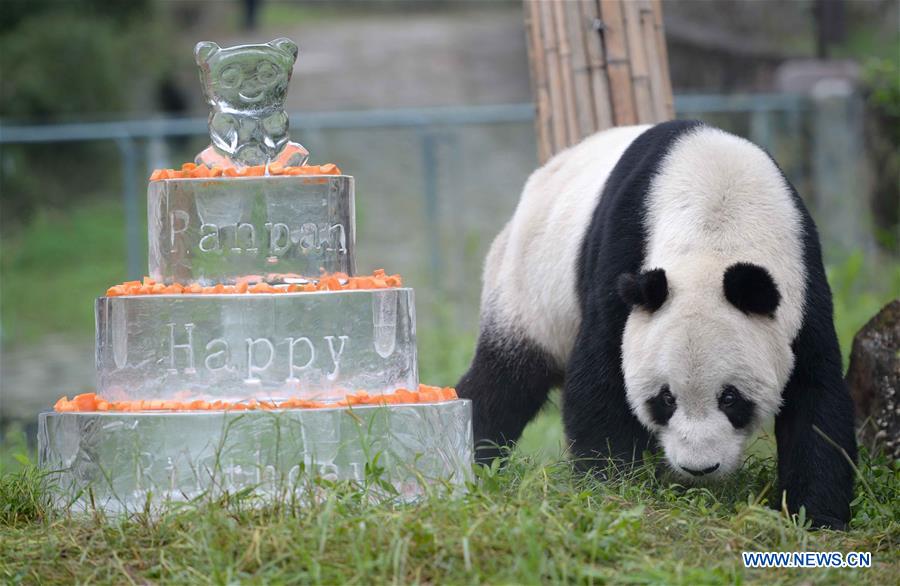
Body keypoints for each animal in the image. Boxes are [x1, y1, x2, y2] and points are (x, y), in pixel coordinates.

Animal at [460, 120, 860, 528]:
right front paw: (612, 488)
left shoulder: (802, 284)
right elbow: (600, 376)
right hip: (529, 287)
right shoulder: (624, 254)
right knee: (506, 381)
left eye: (730, 397)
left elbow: (816, 396)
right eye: (665, 398)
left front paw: (816, 516)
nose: (699, 468)